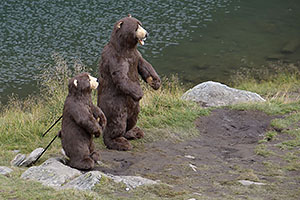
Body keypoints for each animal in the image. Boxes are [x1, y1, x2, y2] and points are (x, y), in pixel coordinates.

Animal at [98, 14, 159, 151]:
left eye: (140, 24)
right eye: (136, 27)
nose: (146, 34)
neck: (127, 48)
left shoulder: (135, 55)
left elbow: (144, 65)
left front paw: (155, 82)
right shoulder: (116, 57)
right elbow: (121, 77)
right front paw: (139, 93)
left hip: (134, 108)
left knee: (132, 119)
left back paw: (134, 132)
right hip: (116, 104)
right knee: (117, 123)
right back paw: (119, 142)